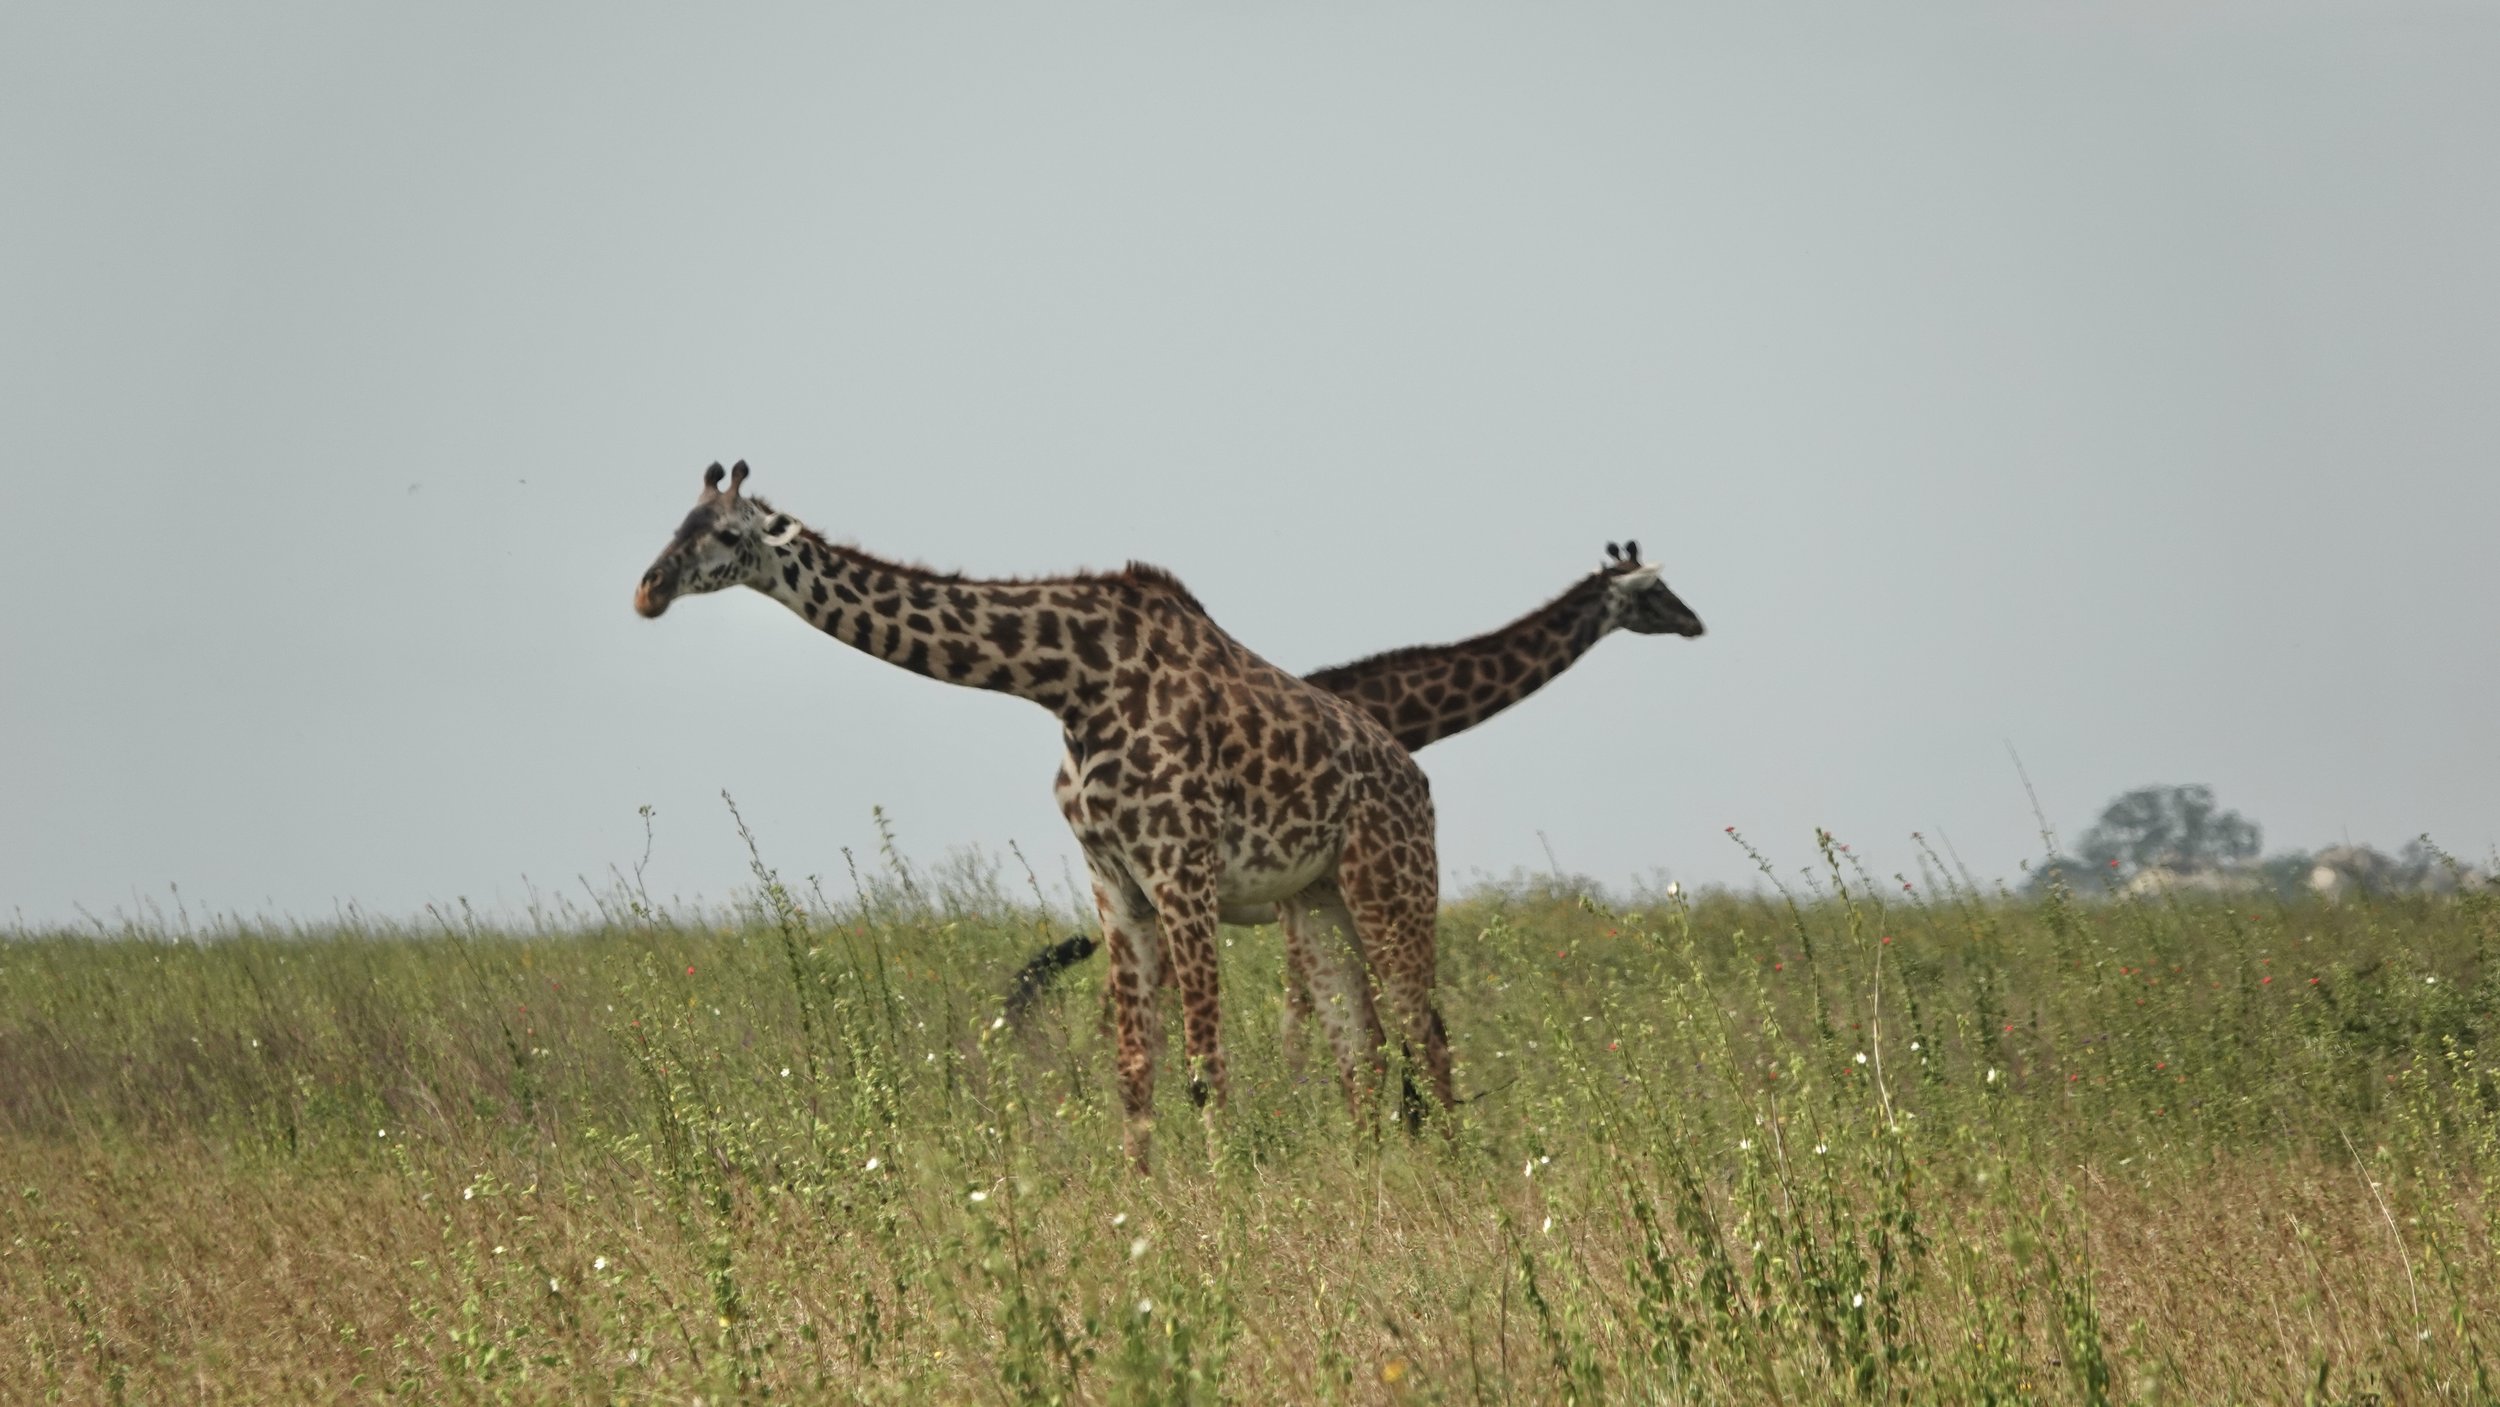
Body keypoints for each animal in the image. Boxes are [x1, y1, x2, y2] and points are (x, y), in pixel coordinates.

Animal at [633, 462, 1450, 1169]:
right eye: (678, 524)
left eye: (728, 535)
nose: (648, 588)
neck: (1072, 681)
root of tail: (1418, 783)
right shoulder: (1115, 883)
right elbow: (1134, 1070)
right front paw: (1148, 1207)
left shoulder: (1182, 870)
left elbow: (1205, 1064)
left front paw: (1226, 1203)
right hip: (1315, 900)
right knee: (1366, 1048)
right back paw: (1368, 1176)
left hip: (1389, 886)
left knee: (1426, 1033)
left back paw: (1442, 1174)